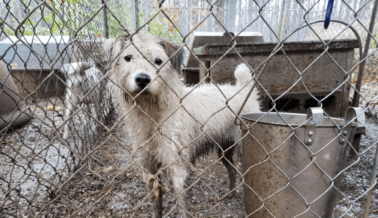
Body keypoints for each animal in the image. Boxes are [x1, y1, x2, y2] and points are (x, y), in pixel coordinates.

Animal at [109, 32, 260, 218]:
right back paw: (230, 194)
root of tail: (244, 89)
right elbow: (156, 204)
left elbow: (181, 205)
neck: (154, 113)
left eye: (158, 61)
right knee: (232, 171)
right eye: (128, 58)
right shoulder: (151, 168)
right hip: (224, 151)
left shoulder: (178, 168)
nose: (143, 79)